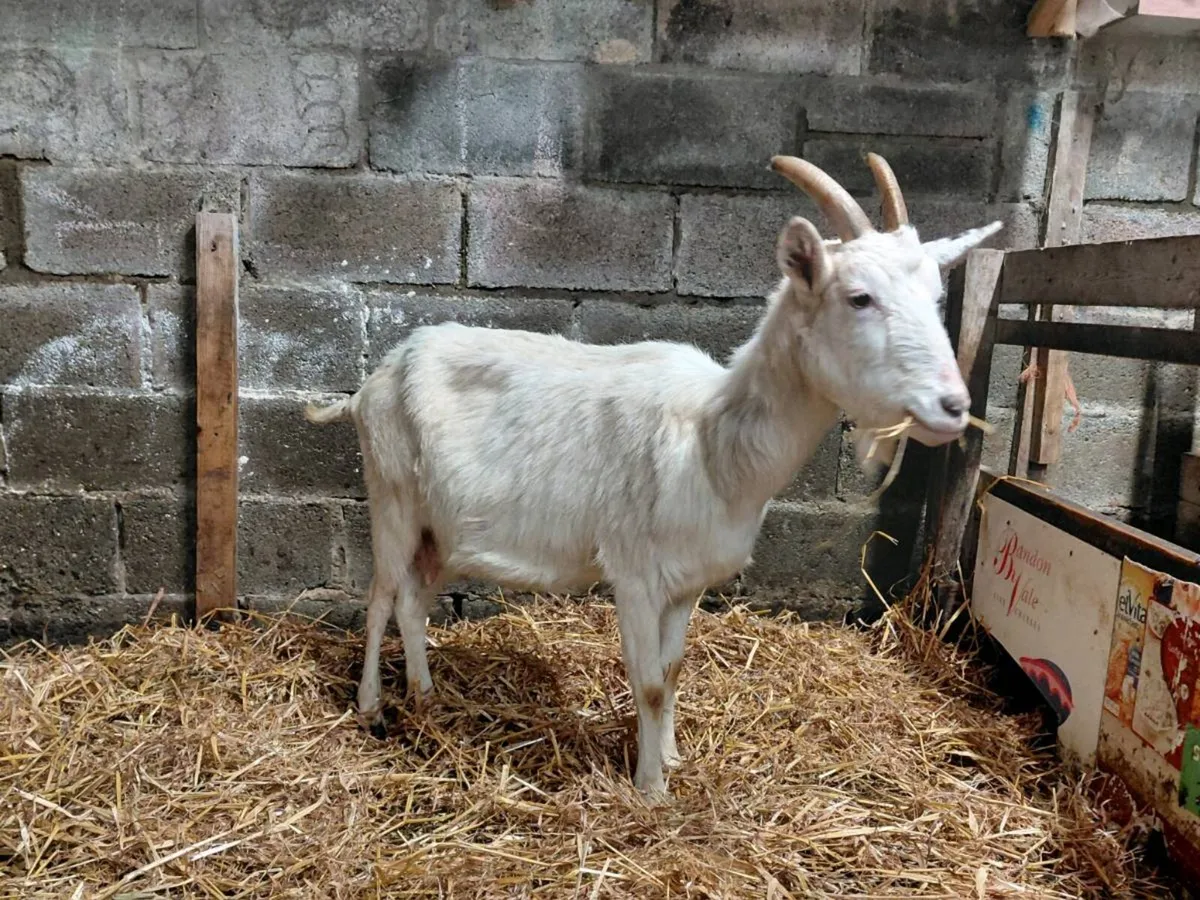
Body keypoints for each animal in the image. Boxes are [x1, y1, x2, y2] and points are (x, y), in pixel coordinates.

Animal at [305, 154, 1003, 800]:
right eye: (858, 296)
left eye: (936, 298)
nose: (952, 406)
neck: (712, 444)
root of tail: (371, 383)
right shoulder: (635, 573)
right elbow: (644, 680)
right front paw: (650, 791)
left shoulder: (686, 583)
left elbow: (671, 673)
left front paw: (671, 758)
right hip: (391, 493)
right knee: (381, 596)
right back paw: (371, 708)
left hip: (440, 525)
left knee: (415, 600)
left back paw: (425, 696)